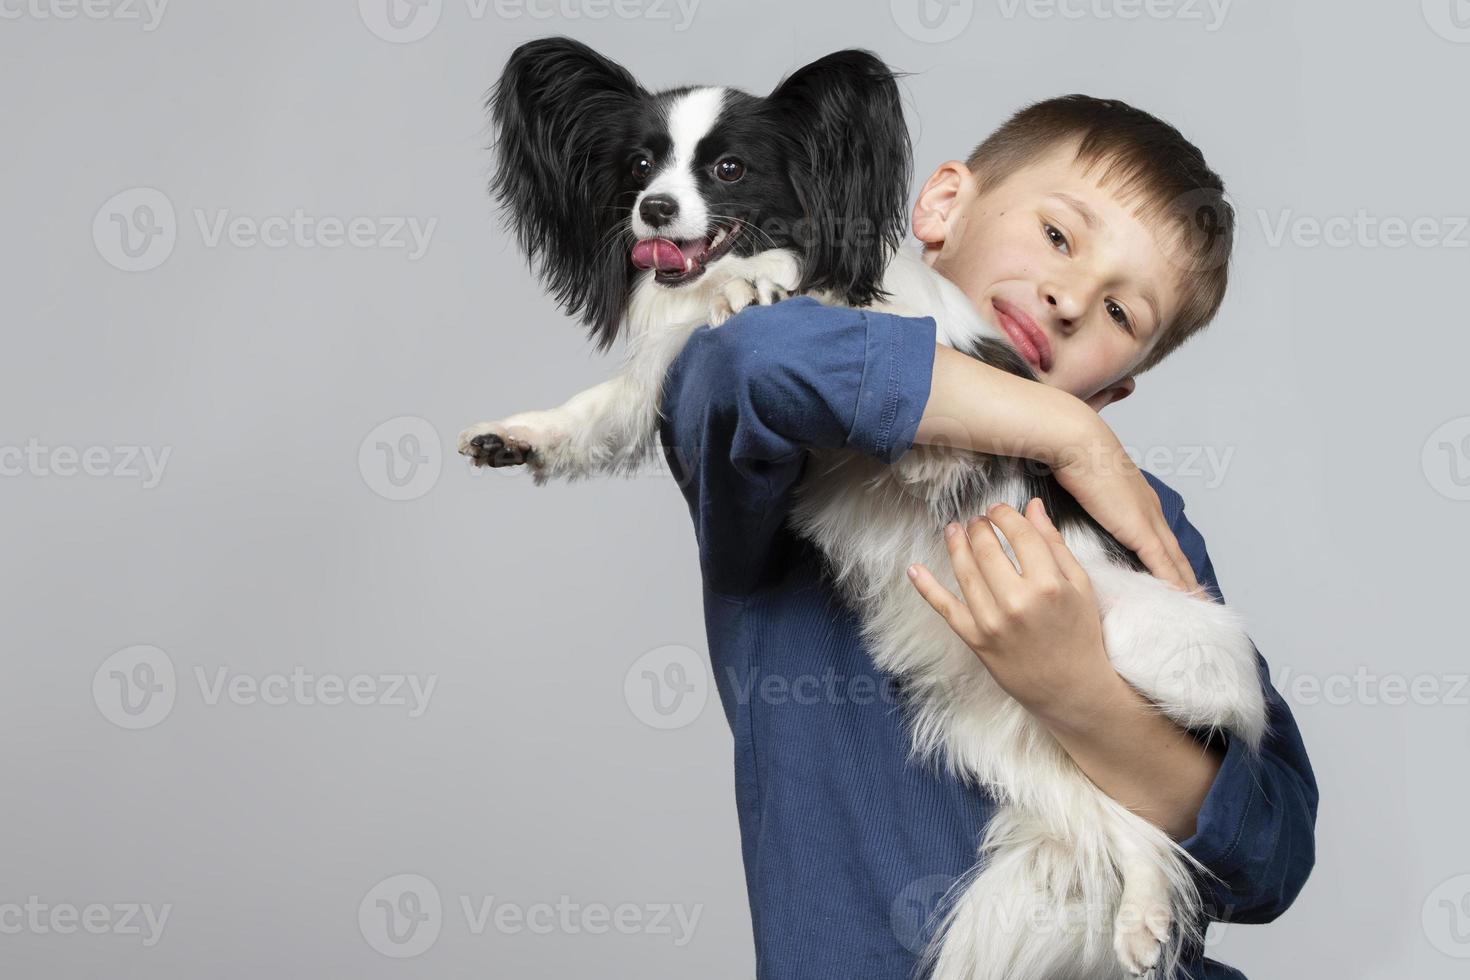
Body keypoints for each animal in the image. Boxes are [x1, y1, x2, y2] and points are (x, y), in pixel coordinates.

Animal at [458, 36, 1264, 980]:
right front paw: (519, 436)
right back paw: (1139, 919)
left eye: (728, 169)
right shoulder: (670, 368)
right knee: (1121, 816)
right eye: (640, 166)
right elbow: (603, 406)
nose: (654, 210)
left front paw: (763, 283)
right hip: (1001, 741)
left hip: (1146, 655)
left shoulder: (943, 385)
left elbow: (849, 333)